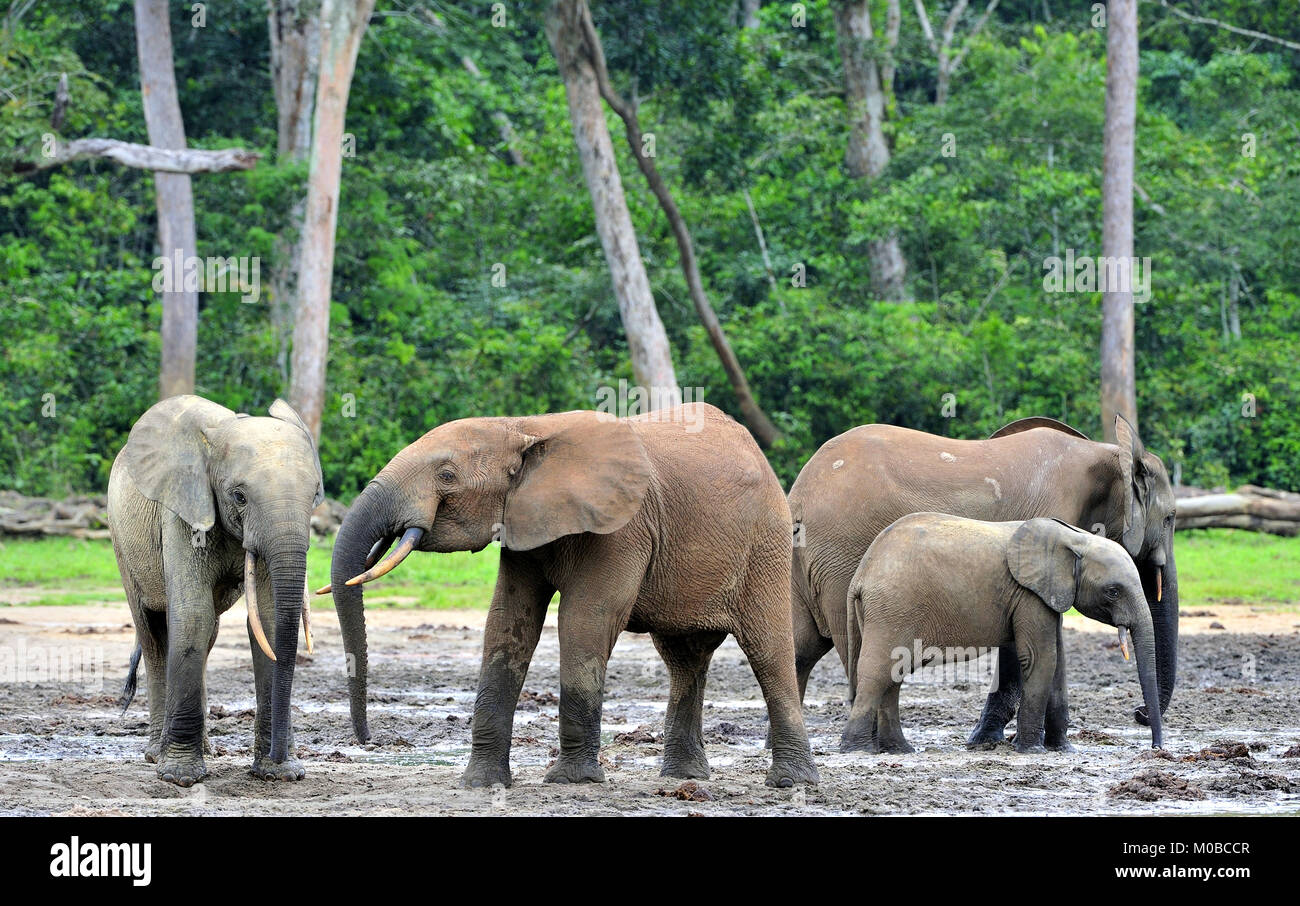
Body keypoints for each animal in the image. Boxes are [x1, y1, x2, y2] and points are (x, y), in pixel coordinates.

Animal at [107, 395, 323, 786]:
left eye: (315, 494)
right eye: (239, 496)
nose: (282, 758)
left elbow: (267, 622)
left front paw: (280, 774)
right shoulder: (181, 511)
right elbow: (192, 615)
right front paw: (180, 778)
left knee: (206, 635)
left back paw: (205, 751)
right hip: (121, 539)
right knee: (153, 634)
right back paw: (156, 754)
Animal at [320, 402, 819, 788]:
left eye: (446, 475)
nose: (366, 739)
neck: (523, 426)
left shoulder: (622, 526)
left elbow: (586, 619)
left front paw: (571, 781)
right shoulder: (523, 520)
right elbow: (507, 623)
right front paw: (481, 785)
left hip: (767, 544)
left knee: (768, 650)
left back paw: (790, 782)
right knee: (685, 659)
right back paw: (684, 778)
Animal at [839, 513, 1163, 755]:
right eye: (1113, 592)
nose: (1156, 749)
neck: (1075, 539)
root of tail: (861, 575)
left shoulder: (1048, 594)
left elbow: (1058, 663)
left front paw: (1063, 750)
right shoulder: (1029, 594)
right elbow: (1040, 658)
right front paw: (1031, 750)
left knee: (892, 676)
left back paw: (900, 750)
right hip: (893, 608)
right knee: (878, 672)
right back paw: (858, 750)